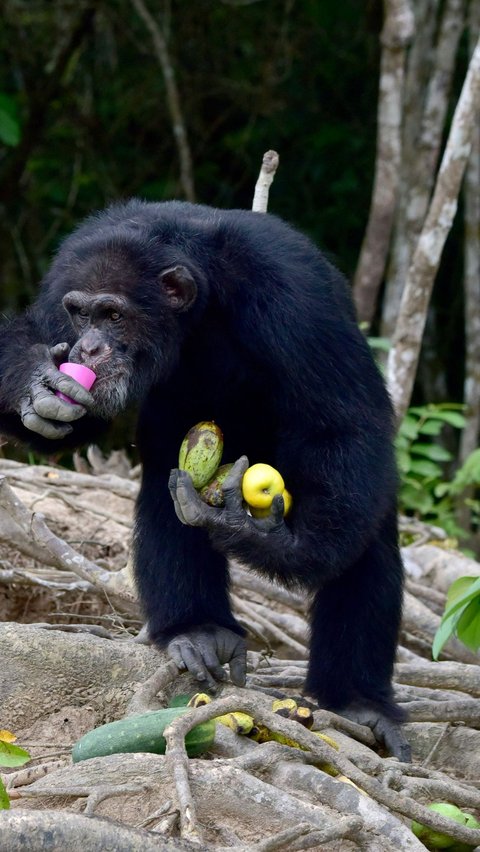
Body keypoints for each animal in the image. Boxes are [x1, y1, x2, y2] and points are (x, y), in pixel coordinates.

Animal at [0, 200, 410, 760]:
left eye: (113, 314)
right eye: (80, 312)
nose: (87, 348)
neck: (197, 308)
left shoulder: (297, 296)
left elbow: (343, 424)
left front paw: (268, 538)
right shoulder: (59, 285)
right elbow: (68, 415)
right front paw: (35, 382)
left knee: (364, 533)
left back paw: (357, 702)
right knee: (164, 491)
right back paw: (198, 629)